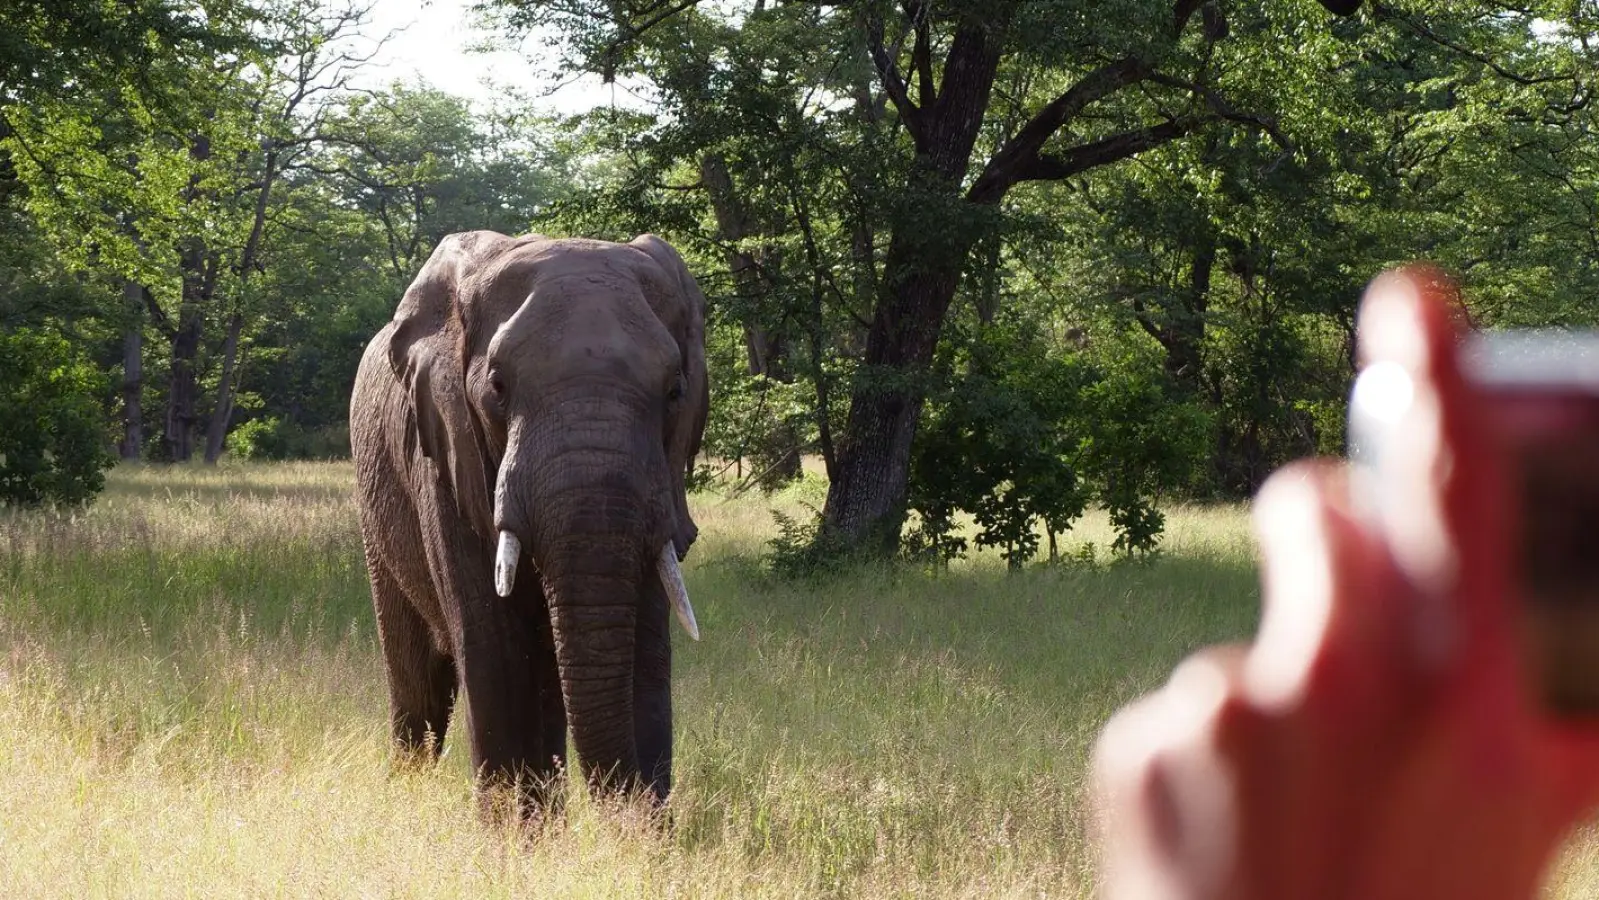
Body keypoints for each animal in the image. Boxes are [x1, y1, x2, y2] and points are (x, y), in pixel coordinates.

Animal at [353, 230, 709, 818]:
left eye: (675, 392)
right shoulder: (449, 455)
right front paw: (512, 837)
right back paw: (408, 789)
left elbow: (644, 648)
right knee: (418, 684)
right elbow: (495, 650)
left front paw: (645, 836)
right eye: (497, 386)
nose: (630, 813)